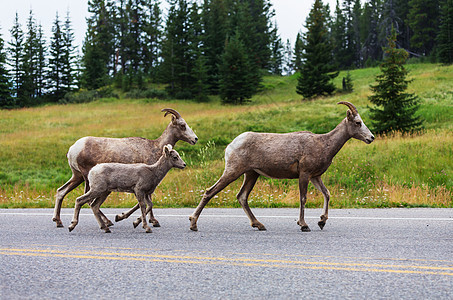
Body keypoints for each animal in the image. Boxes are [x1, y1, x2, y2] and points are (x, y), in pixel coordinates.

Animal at [52, 108, 196, 227]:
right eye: (182, 125)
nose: (195, 139)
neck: (155, 147)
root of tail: (72, 150)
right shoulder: (142, 184)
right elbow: (143, 203)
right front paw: (148, 221)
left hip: (77, 176)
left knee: (61, 191)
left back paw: (58, 221)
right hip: (87, 177)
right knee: (87, 200)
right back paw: (107, 222)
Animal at [188, 102, 374, 232]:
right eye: (358, 122)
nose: (371, 138)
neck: (324, 144)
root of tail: (231, 145)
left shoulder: (315, 176)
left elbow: (327, 194)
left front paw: (321, 222)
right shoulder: (304, 174)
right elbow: (303, 198)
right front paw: (304, 225)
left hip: (251, 174)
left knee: (242, 197)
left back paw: (259, 225)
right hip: (233, 171)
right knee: (210, 192)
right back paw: (193, 224)